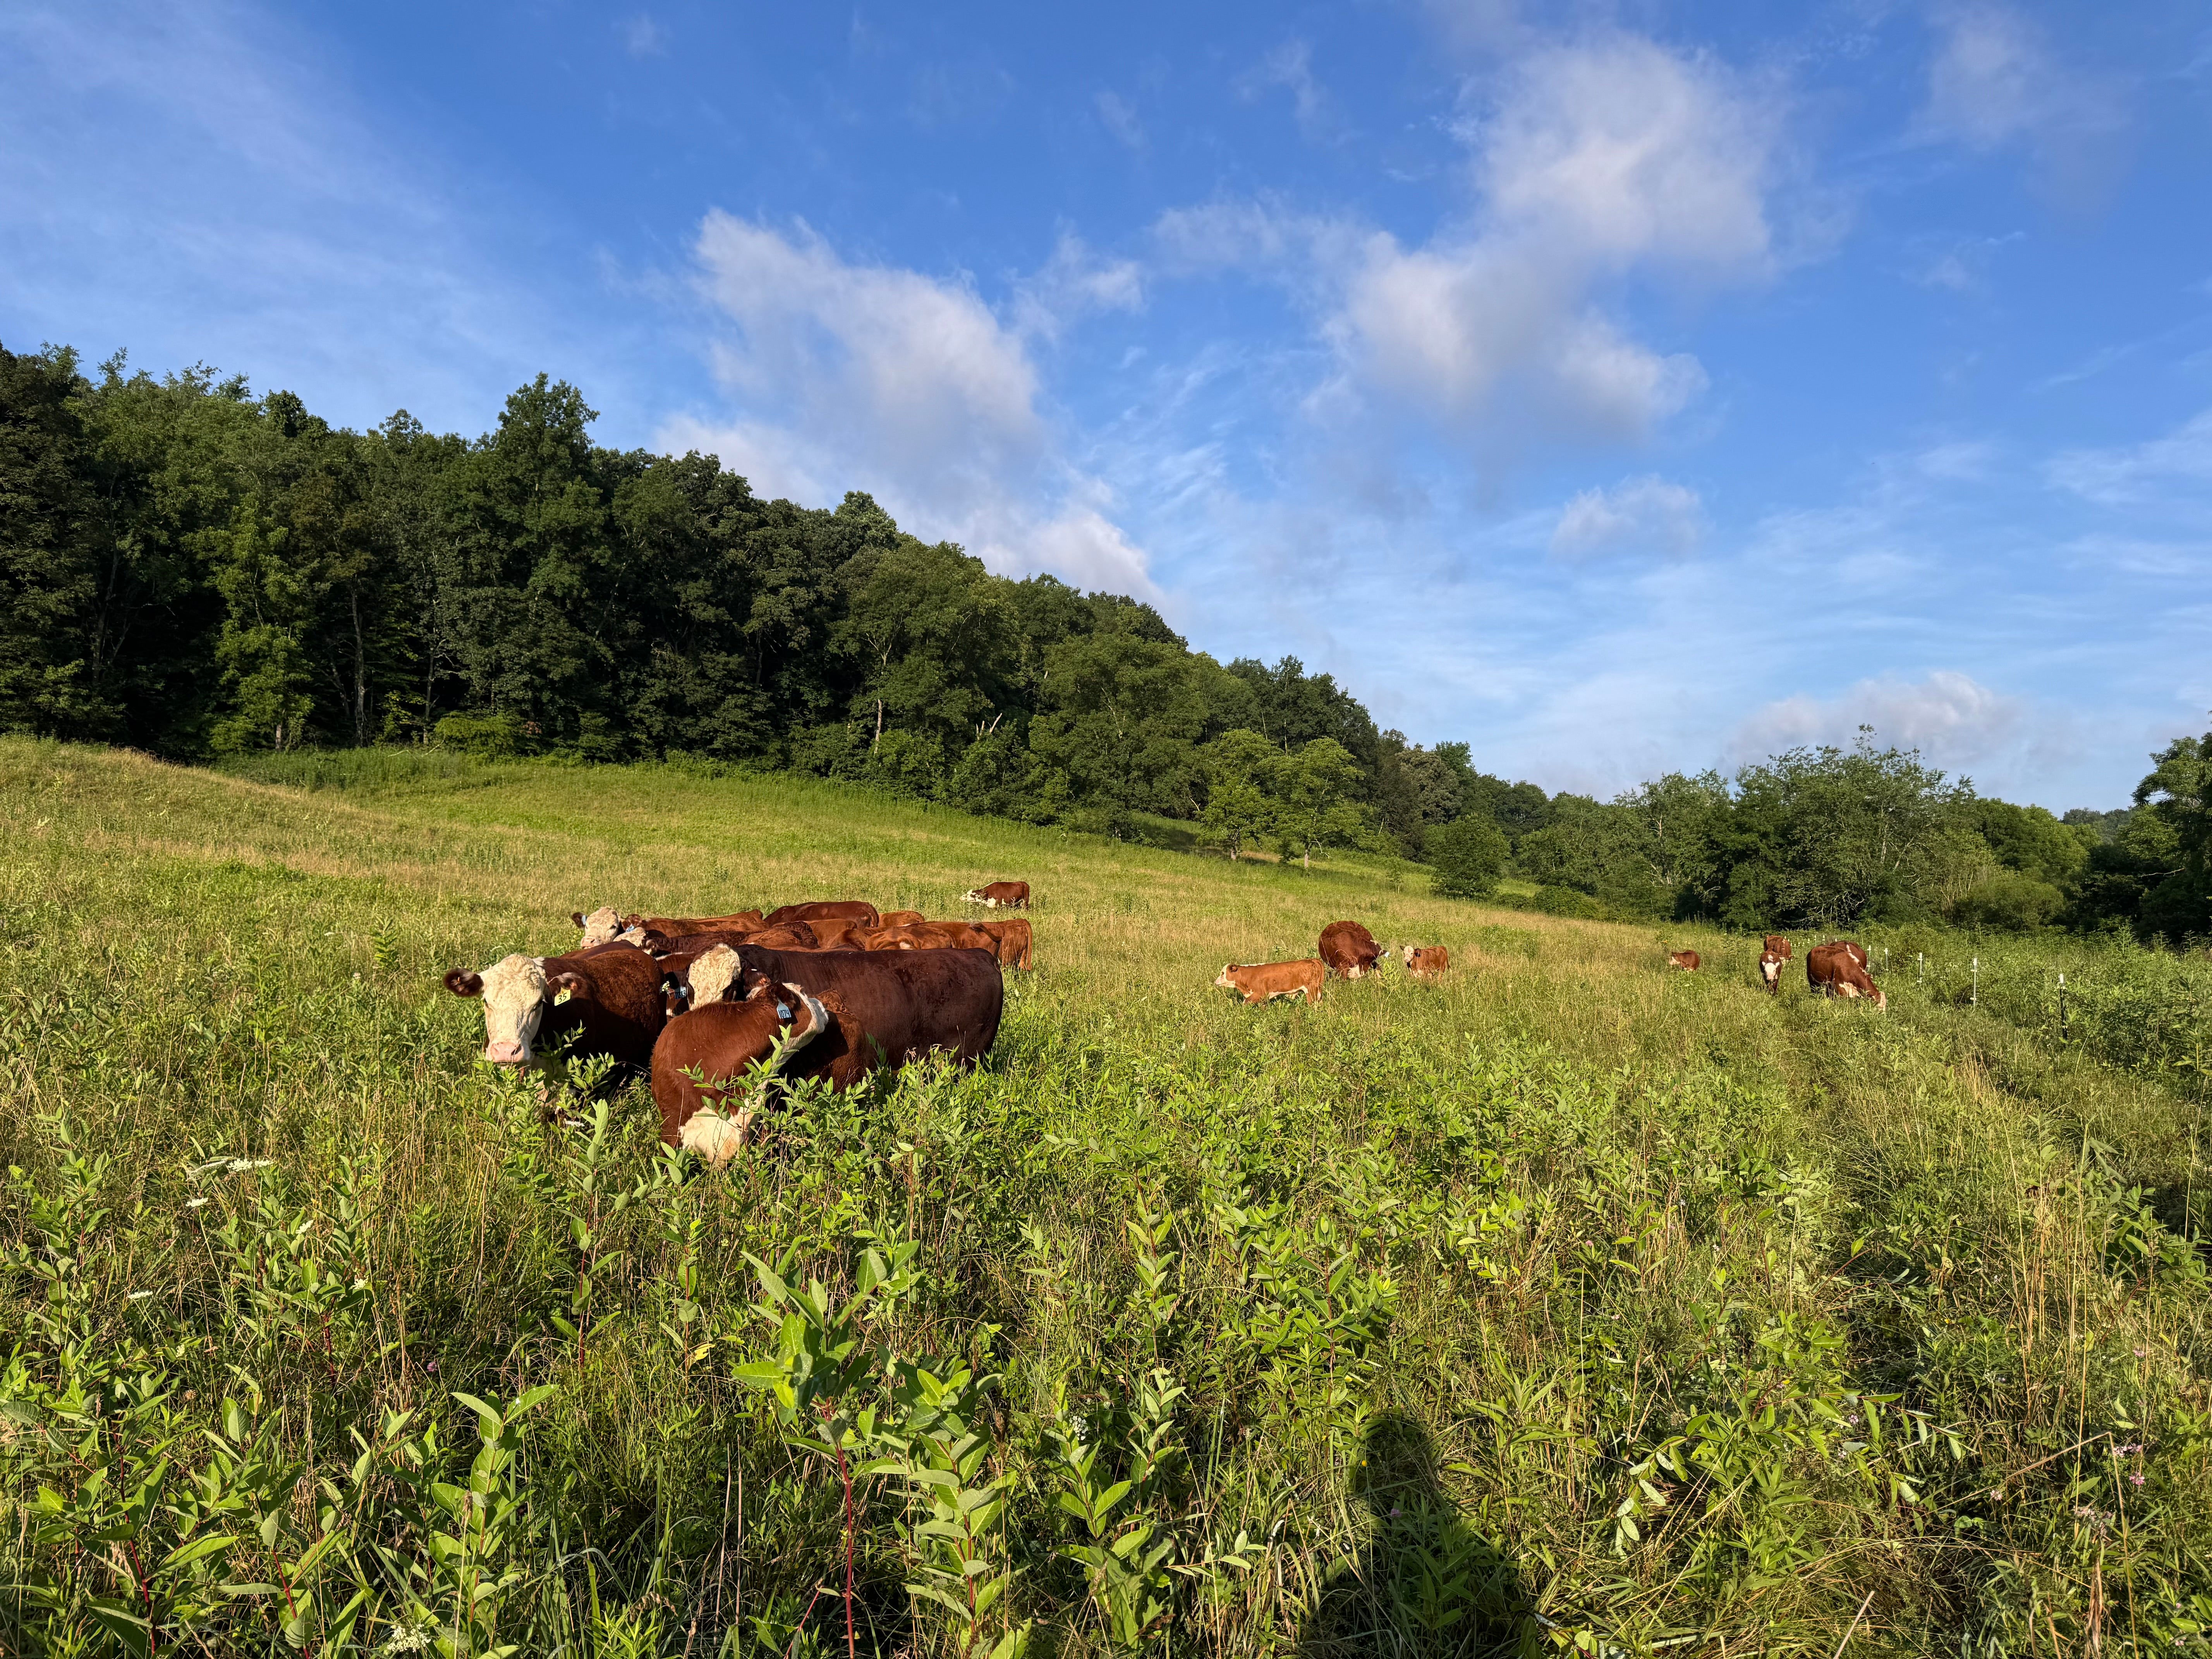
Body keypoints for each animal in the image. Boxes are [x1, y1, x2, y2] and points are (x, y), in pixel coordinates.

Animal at [1214, 960, 1325, 1005]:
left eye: (1223, 973)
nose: (1215, 982)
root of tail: (1312, 961)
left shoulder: (1260, 994)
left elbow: (1245, 1003)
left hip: (1311, 990)